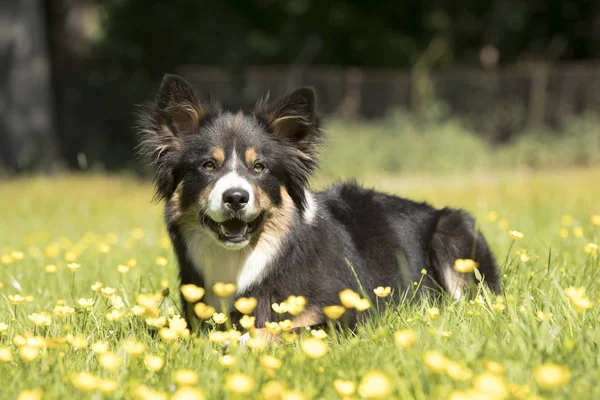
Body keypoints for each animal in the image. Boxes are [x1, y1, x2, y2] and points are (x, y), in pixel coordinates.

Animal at [138, 75, 500, 334]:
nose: (236, 197)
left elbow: (278, 330)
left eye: (260, 167)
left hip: (452, 230)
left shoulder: (349, 312)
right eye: (208, 166)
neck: (246, 257)